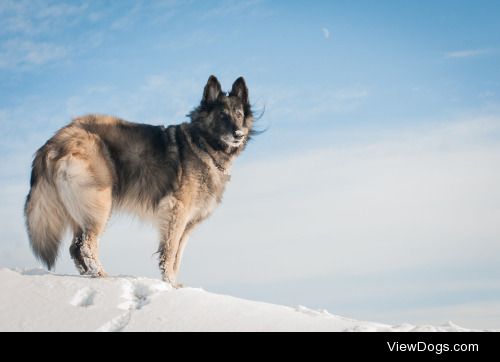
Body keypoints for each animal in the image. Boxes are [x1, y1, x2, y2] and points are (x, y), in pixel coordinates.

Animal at [23, 75, 254, 286]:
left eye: (239, 114)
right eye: (222, 115)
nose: (238, 134)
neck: (203, 145)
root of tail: (56, 139)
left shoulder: (188, 224)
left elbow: (178, 255)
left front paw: (175, 284)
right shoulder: (176, 212)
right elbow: (170, 252)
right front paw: (169, 283)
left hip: (80, 208)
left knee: (75, 247)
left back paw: (91, 276)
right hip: (100, 202)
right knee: (86, 245)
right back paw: (103, 277)